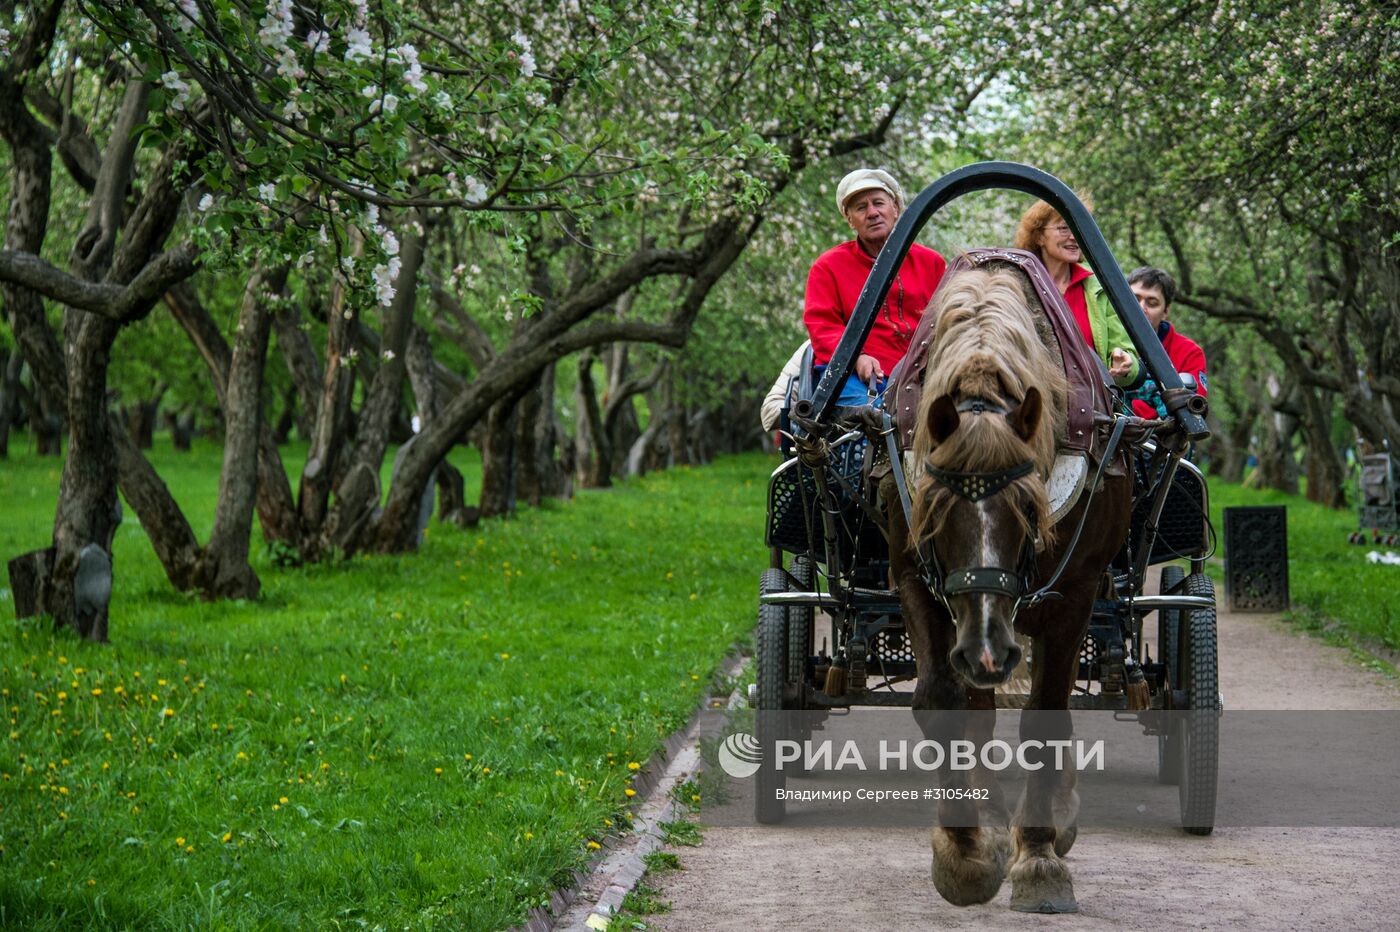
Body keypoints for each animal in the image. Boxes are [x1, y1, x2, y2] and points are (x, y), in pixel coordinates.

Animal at [884, 257, 1136, 912]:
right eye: (935, 508)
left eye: (1028, 507)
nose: (987, 650)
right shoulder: (912, 575)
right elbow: (945, 704)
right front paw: (967, 855)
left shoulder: (1074, 594)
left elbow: (1047, 717)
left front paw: (1039, 862)